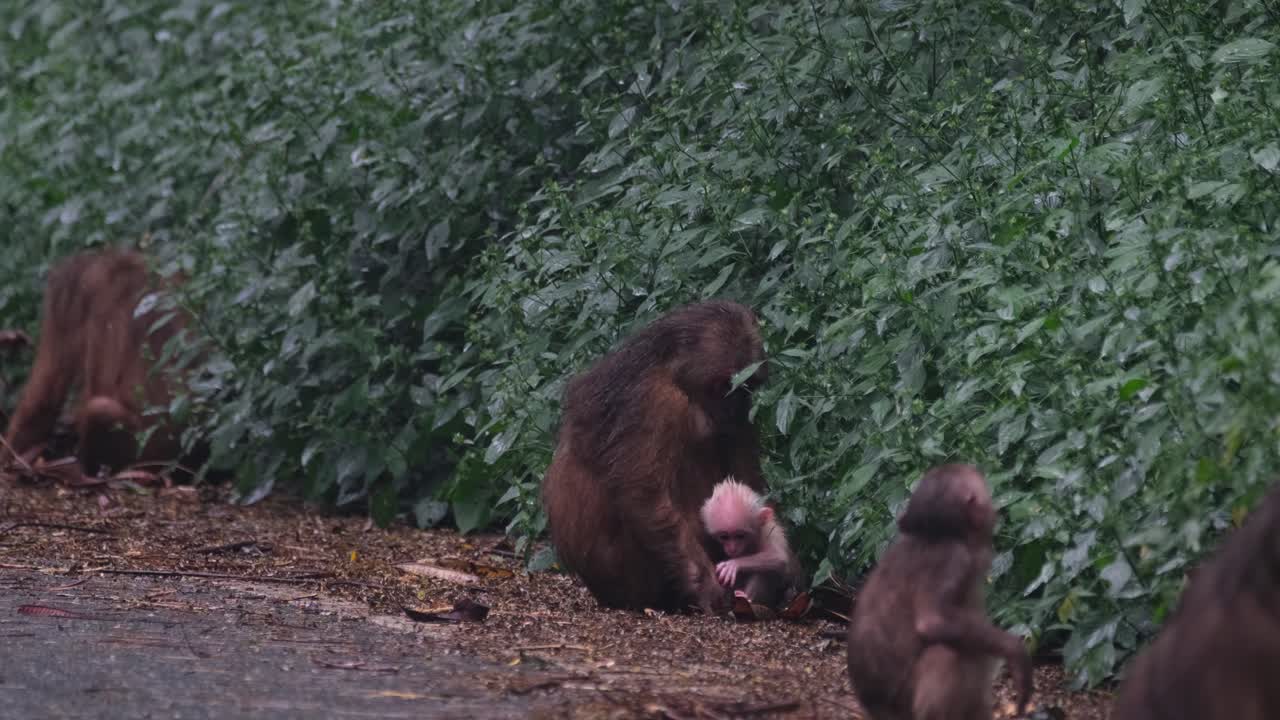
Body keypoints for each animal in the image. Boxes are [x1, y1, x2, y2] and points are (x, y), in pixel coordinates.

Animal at [541, 300, 769, 614]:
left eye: (745, 387)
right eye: (724, 385)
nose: (734, 407)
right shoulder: (656, 404)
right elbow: (643, 494)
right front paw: (706, 584)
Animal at [700, 476, 805, 609]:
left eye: (740, 536)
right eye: (724, 537)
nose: (732, 548)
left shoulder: (769, 532)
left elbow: (779, 557)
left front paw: (734, 564)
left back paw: (746, 599)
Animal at [846, 463, 1033, 720]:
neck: (937, 535)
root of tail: (874, 708)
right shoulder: (954, 558)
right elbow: (932, 623)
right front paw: (1016, 652)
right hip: (903, 706)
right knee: (949, 651)